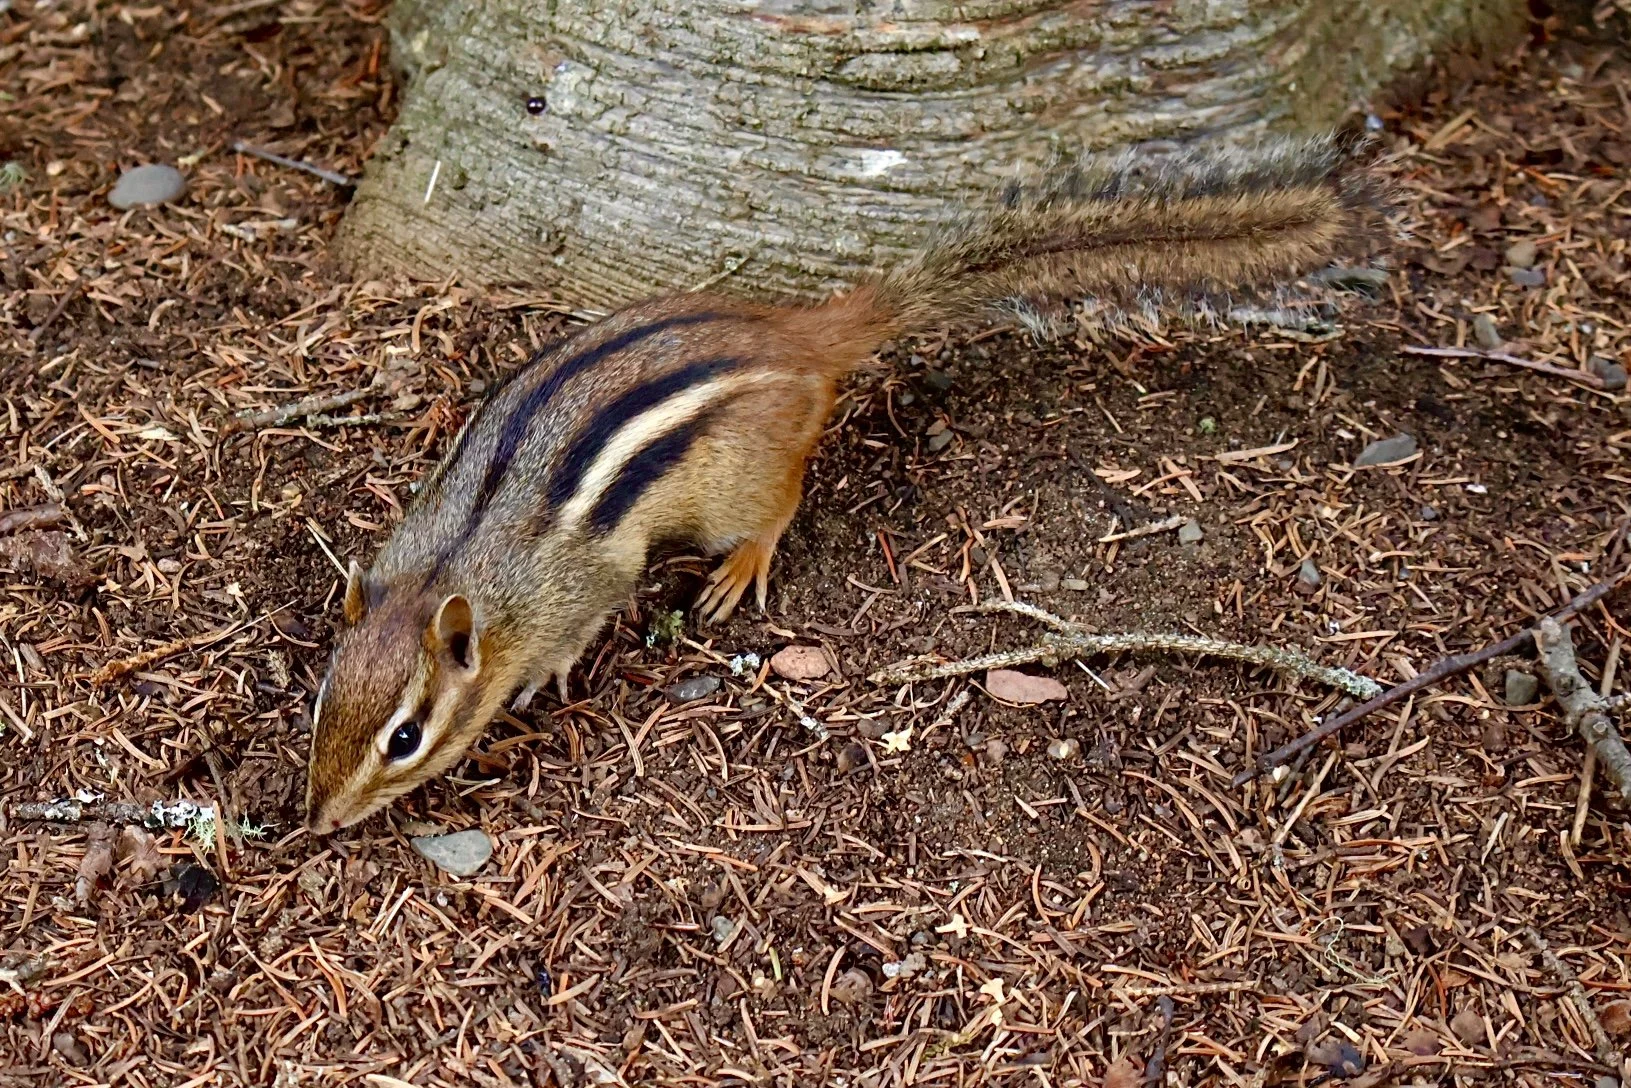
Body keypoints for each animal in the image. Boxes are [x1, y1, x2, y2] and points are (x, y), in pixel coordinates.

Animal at [305, 133, 1389, 833]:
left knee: (779, 503)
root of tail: (800, 336)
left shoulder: (585, 580)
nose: (314, 821)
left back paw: (740, 568)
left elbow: (580, 625)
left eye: (405, 736)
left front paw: (544, 676)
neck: (454, 570)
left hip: (738, 481)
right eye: (321, 698)